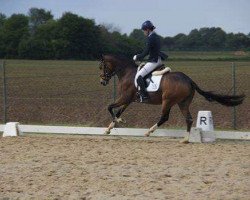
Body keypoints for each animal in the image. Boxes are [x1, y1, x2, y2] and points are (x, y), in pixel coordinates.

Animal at [98, 54, 245, 142]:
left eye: (102, 67)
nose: (102, 82)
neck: (127, 72)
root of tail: (188, 80)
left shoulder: (125, 98)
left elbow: (110, 107)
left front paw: (119, 121)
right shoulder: (128, 100)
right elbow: (118, 111)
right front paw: (109, 128)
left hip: (167, 101)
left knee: (164, 117)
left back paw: (149, 132)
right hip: (183, 103)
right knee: (189, 119)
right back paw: (185, 139)